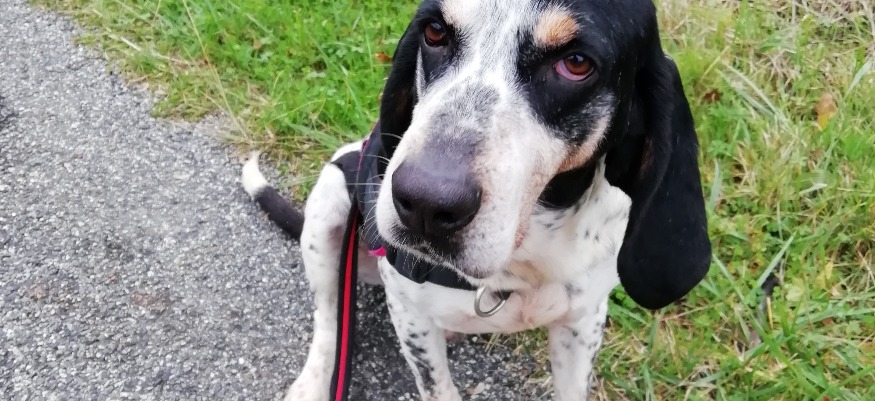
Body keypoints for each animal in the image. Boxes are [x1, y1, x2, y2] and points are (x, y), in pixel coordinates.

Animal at [241, 0, 711, 400]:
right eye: (434, 31)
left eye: (576, 63)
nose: (425, 204)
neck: (520, 262)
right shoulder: (411, 316)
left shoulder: (582, 323)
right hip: (330, 207)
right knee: (329, 318)